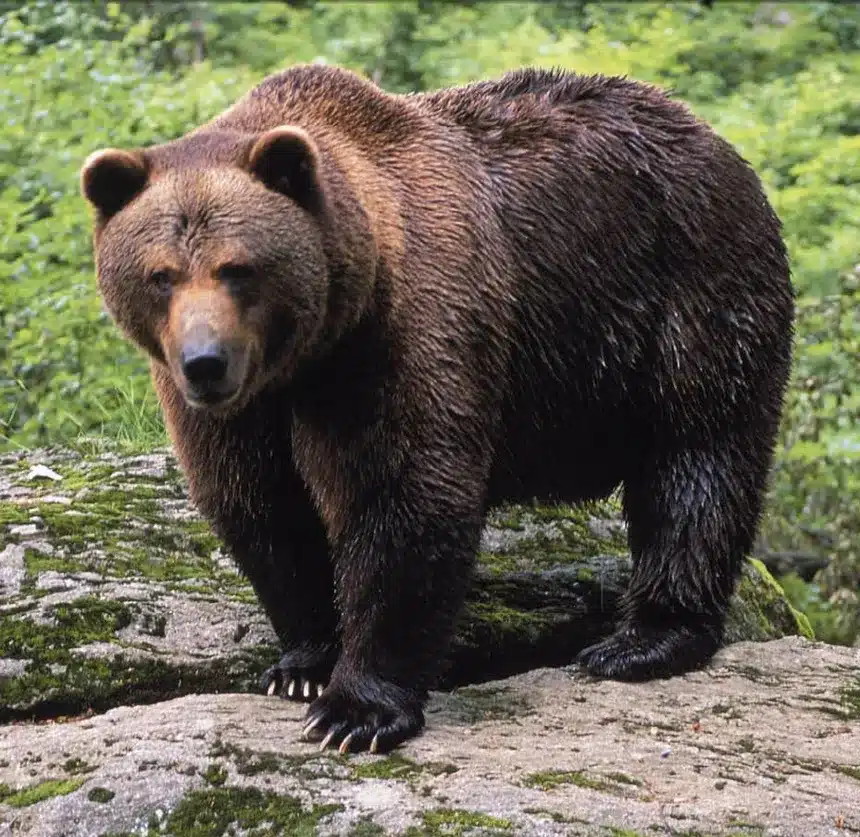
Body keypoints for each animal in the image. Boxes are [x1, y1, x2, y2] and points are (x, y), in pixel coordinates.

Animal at [80, 64, 794, 754]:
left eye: (238, 268)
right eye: (160, 274)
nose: (205, 362)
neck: (309, 354)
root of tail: (706, 131)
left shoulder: (402, 333)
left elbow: (403, 498)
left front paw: (355, 711)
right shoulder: (241, 413)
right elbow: (262, 506)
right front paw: (302, 666)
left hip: (690, 289)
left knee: (696, 456)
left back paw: (641, 640)